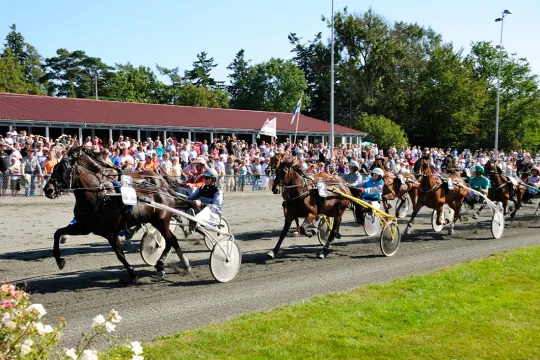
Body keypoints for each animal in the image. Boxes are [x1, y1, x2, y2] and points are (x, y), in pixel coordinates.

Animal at [44, 146, 192, 282]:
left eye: (64, 170)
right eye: (55, 168)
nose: (48, 190)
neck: (100, 196)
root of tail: (163, 188)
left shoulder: (110, 232)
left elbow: (120, 254)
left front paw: (133, 274)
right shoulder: (85, 227)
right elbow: (58, 233)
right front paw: (60, 260)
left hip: (162, 221)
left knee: (171, 239)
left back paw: (169, 262)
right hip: (157, 221)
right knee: (171, 239)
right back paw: (173, 264)